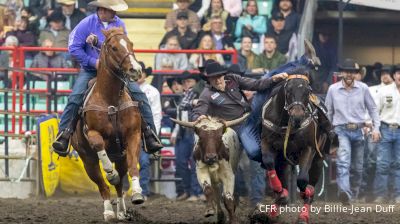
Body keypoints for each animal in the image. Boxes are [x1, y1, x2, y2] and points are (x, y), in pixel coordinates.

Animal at [71, 27, 144, 221]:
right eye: (113, 47)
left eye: (131, 43)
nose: (135, 70)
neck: (110, 100)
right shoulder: (92, 133)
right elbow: (98, 146)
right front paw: (111, 174)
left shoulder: (133, 135)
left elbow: (133, 167)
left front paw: (137, 193)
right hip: (88, 160)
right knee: (102, 184)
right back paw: (109, 211)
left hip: (120, 156)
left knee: (119, 186)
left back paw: (122, 211)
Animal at [260, 69, 330, 223]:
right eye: (288, 90)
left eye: (308, 91)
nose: (297, 116)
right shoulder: (267, 142)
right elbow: (268, 162)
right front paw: (281, 194)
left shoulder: (309, 148)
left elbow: (302, 180)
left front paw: (306, 194)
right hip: (284, 160)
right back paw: (277, 206)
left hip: (318, 158)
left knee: (311, 179)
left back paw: (304, 211)